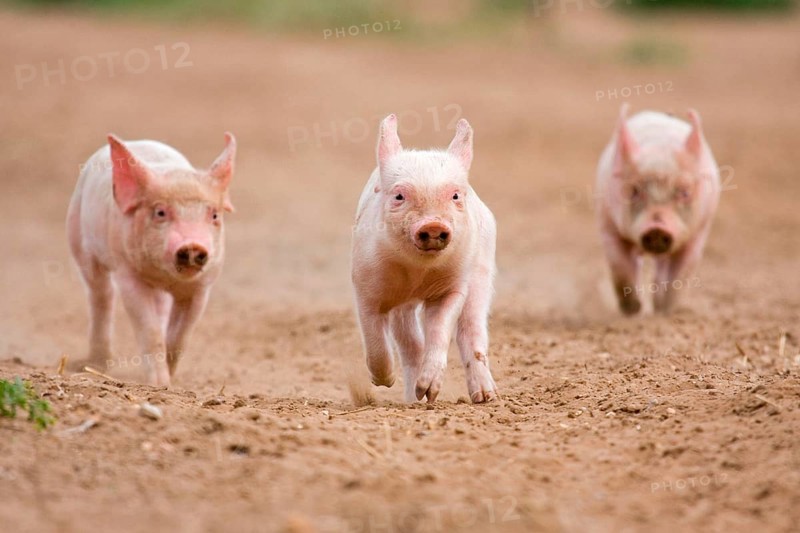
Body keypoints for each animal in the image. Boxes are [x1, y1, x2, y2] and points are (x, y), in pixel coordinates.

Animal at [67, 133, 236, 386]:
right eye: (160, 212)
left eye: (214, 215)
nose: (193, 245)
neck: (166, 276)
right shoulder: (127, 274)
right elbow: (150, 330)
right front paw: (160, 385)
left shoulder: (202, 286)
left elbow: (181, 335)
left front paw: (170, 378)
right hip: (78, 237)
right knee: (101, 294)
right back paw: (95, 365)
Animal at [351, 114, 498, 404]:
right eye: (399, 195)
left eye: (455, 195)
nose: (432, 225)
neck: (417, 274)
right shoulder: (365, 286)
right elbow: (374, 339)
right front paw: (384, 381)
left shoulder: (453, 287)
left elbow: (440, 331)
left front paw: (431, 392)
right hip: (402, 308)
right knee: (411, 345)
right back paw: (413, 399)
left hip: (482, 270)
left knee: (471, 330)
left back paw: (485, 397)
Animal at [596, 104, 720, 314]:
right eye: (633, 191)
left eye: (685, 192)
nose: (656, 229)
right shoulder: (607, 223)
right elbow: (620, 266)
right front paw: (633, 310)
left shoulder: (699, 230)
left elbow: (680, 274)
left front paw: (664, 311)